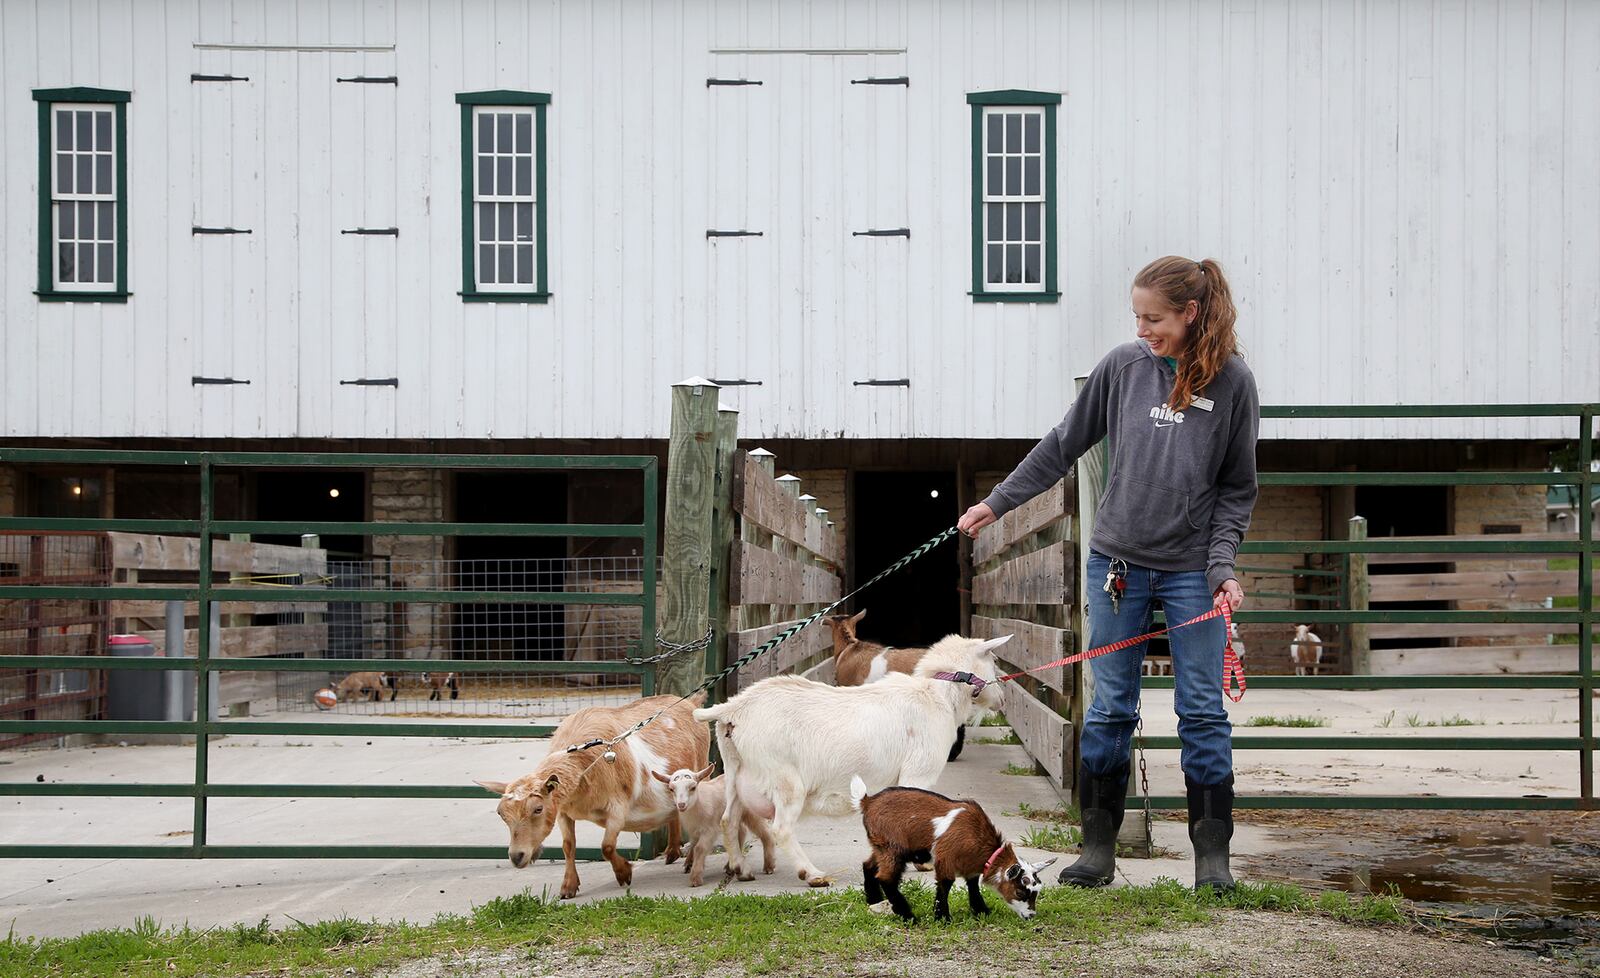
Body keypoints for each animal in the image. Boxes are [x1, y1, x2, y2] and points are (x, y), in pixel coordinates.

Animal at [691, 633, 1011, 889]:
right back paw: (813, 874)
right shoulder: (918, 772)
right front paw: (923, 863)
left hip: (735, 772)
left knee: (729, 819)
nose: (1003, 699)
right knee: (780, 828)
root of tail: (734, 708)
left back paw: (742, 869)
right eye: (994, 659)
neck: (937, 696)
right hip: (784, 777)